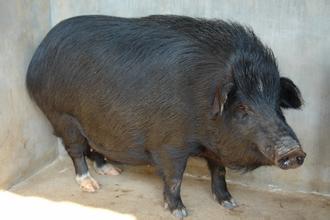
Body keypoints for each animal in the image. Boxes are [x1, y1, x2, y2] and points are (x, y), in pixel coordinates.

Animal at [26, 14, 306, 217]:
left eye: (277, 106)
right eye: (242, 108)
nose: (294, 151)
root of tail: (38, 53)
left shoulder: (214, 147)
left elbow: (219, 171)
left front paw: (230, 204)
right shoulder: (169, 145)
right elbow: (174, 177)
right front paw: (180, 212)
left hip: (92, 120)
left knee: (94, 146)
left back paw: (113, 171)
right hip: (63, 116)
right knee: (75, 150)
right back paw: (91, 186)